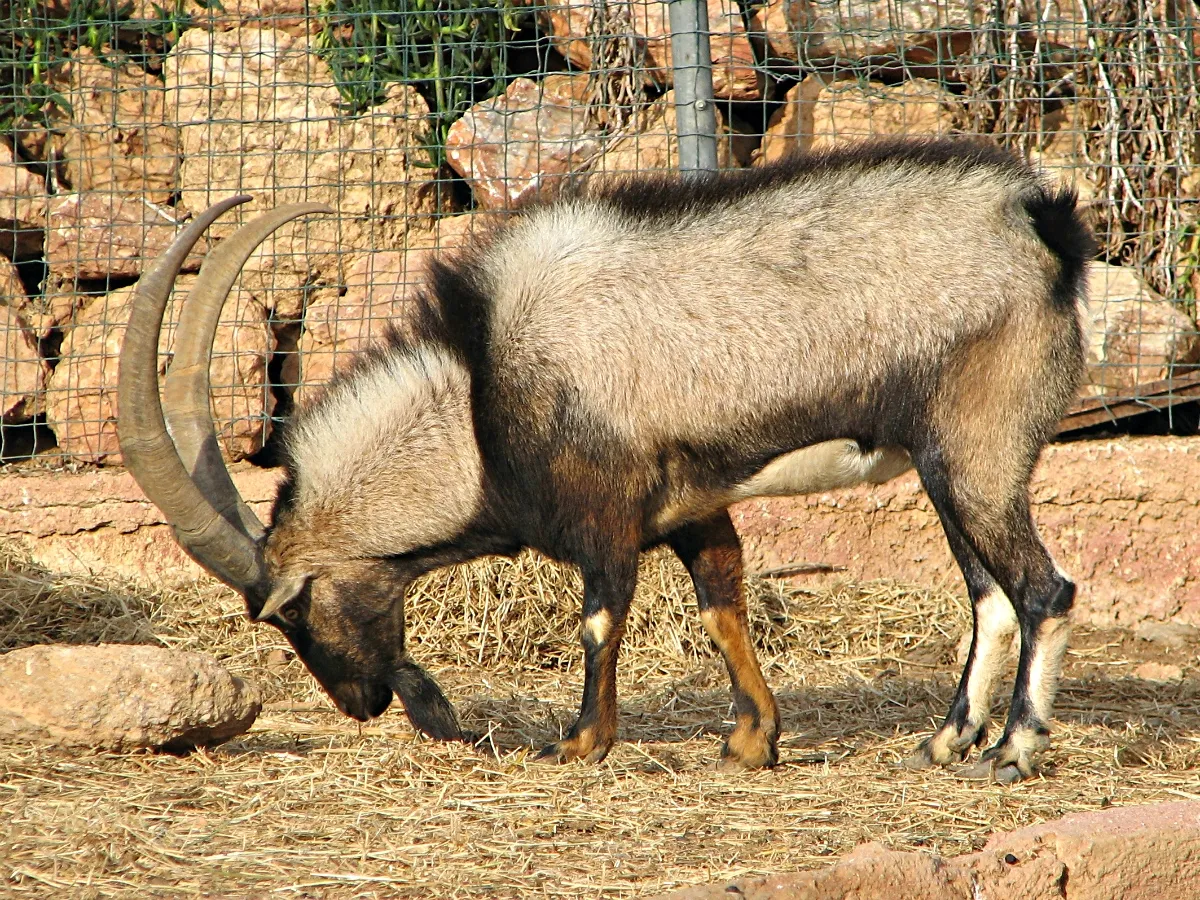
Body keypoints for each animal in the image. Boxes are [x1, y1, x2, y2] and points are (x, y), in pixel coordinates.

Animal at [118, 138, 1093, 782]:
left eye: (288, 612)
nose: (362, 701)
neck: (480, 393)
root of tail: (1039, 222)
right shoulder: (692, 507)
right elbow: (719, 601)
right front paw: (753, 739)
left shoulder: (605, 516)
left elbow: (599, 618)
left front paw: (581, 741)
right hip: (947, 468)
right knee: (991, 596)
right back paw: (944, 741)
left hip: (975, 457)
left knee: (1043, 590)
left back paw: (1012, 751)